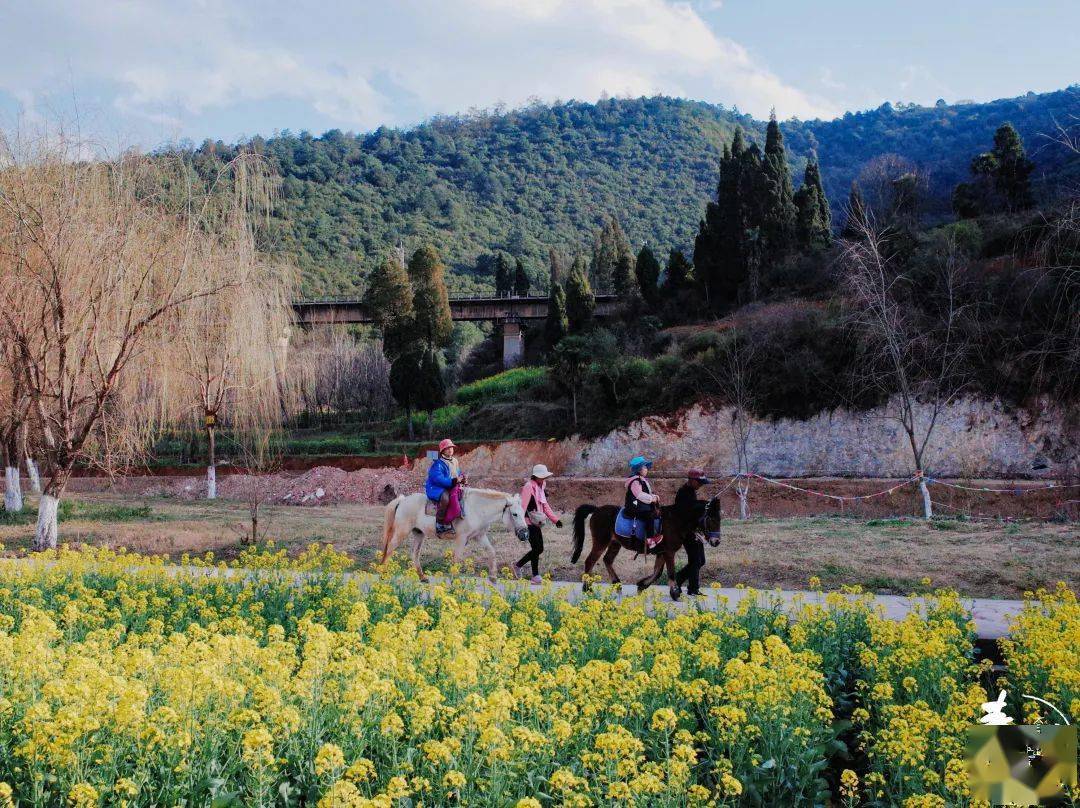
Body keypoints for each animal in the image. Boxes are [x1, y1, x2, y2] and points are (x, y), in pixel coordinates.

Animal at [382, 486, 529, 578]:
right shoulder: (461, 538)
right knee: (390, 548)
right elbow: (457, 558)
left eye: (524, 513)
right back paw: (383, 571)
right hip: (402, 531)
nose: (525, 534)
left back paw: (422, 577)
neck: (477, 508)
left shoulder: (480, 536)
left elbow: (491, 551)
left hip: (418, 533)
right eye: (515, 514)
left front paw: (493, 577)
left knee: (414, 554)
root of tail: (402, 500)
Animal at [570, 492, 721, 600]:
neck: (676, 520)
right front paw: (675, 593)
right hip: (601, 541)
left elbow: (657, 572)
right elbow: (670, 572)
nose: (717, 541)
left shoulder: (662, 552)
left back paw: (617, 584)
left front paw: (642, 585)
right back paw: (587, 588)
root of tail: (596, 510)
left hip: (615, 543)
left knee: (607, 560)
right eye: (711, 518)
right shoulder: (669, 552)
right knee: (590, 561)